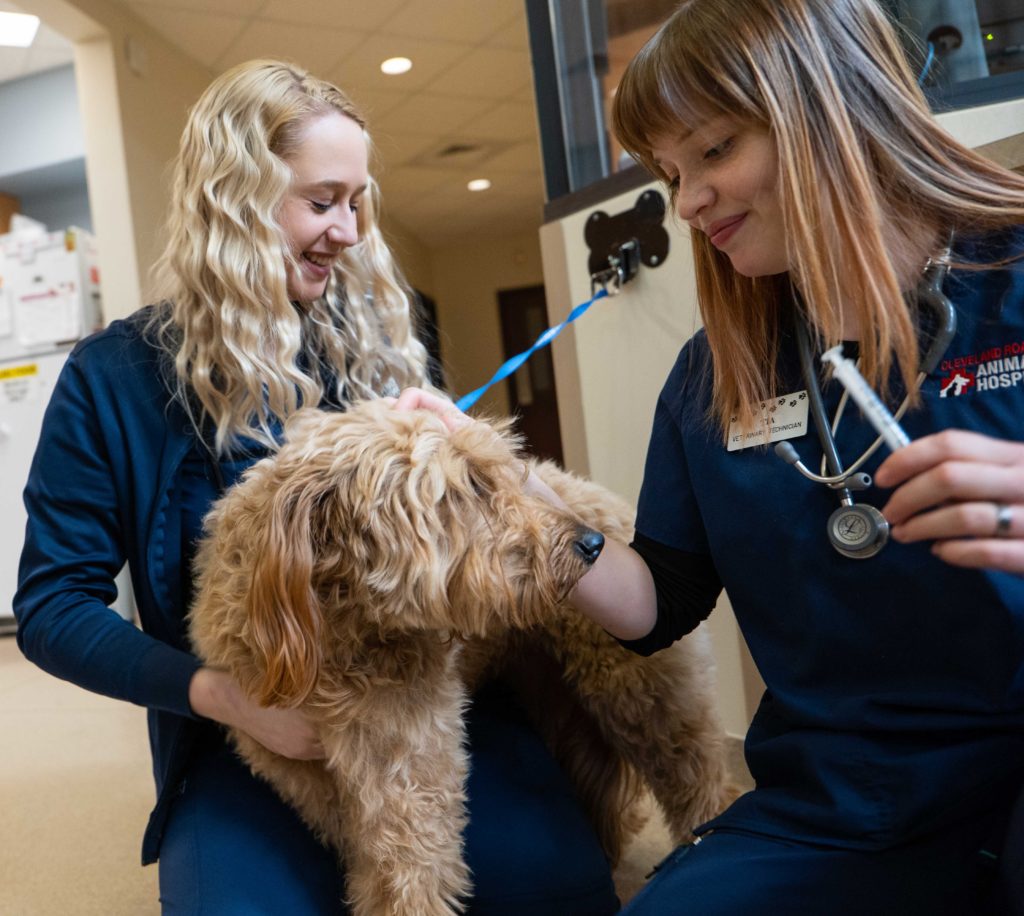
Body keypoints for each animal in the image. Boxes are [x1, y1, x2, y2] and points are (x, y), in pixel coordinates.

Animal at [190, 403, 737, 916]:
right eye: (470, 486)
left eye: (506, 472)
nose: (591, 545)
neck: (334, 628)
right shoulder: (305, 776)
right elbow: (372, 872)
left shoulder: (409, 774)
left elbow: (413, 883)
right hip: (556, 697)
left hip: (645, 695)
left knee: (702, 778)